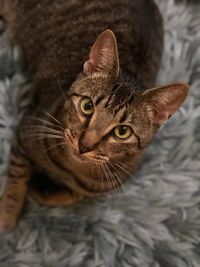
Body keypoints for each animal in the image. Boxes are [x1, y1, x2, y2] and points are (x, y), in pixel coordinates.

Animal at [0, 0, 189, 231]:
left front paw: (41, 188)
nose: (84, 145)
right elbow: (17, 177)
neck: (72, 169)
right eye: (87, 106)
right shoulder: (26, 130)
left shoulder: (99, 187)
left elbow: (71, 196)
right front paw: (7, 215)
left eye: (122, 131)